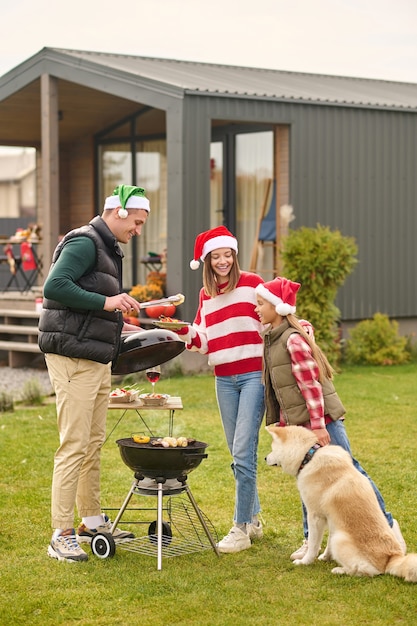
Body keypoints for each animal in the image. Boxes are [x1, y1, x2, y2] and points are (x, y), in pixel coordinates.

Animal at [266, 424, 416, 580]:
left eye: (272, 448)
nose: (264, 458)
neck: (309, 457)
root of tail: (391, 559)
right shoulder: (332, 519)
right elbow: (328, 544)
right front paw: (325, 557)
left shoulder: (315, 516)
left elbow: (313, 545)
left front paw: (304, 562)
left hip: (340, 539)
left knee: (365, 571)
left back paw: (340, 570)